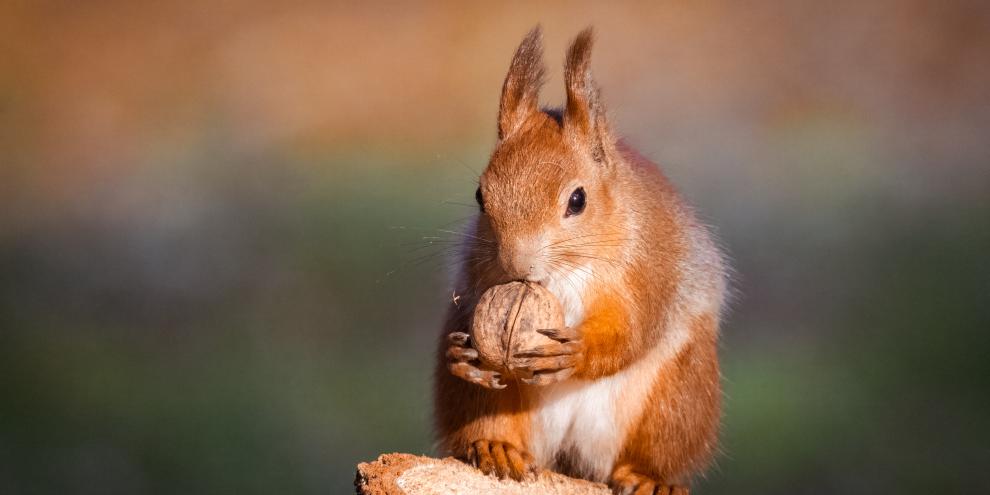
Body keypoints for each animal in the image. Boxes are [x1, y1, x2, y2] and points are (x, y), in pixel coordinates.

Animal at [433, 26, 727, 495]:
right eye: (480, 196)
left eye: (577, 200)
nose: (517, 265)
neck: (563, 274)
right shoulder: (478, 275)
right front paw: (464, 354)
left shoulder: (649, 270)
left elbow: (633, 331)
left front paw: (576, 352)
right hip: (486, 401)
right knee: (483, 419)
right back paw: (497, 446)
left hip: (679, 394)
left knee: (662, 442)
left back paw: (649, 477)